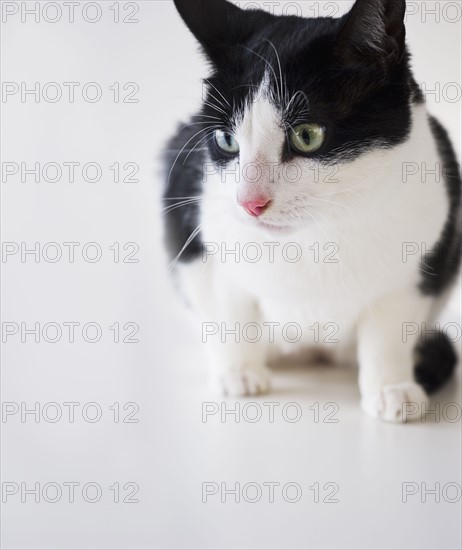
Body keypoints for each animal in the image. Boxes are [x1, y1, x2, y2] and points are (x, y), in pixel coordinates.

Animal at [162, 0, 458, 422]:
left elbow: (389, 328)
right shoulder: (199, 235)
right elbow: (229, 306)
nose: (250, 202)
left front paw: (391, 387)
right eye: (226, 140)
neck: (315, 234)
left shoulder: (418, 260)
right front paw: (239, 373)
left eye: (307, 135)